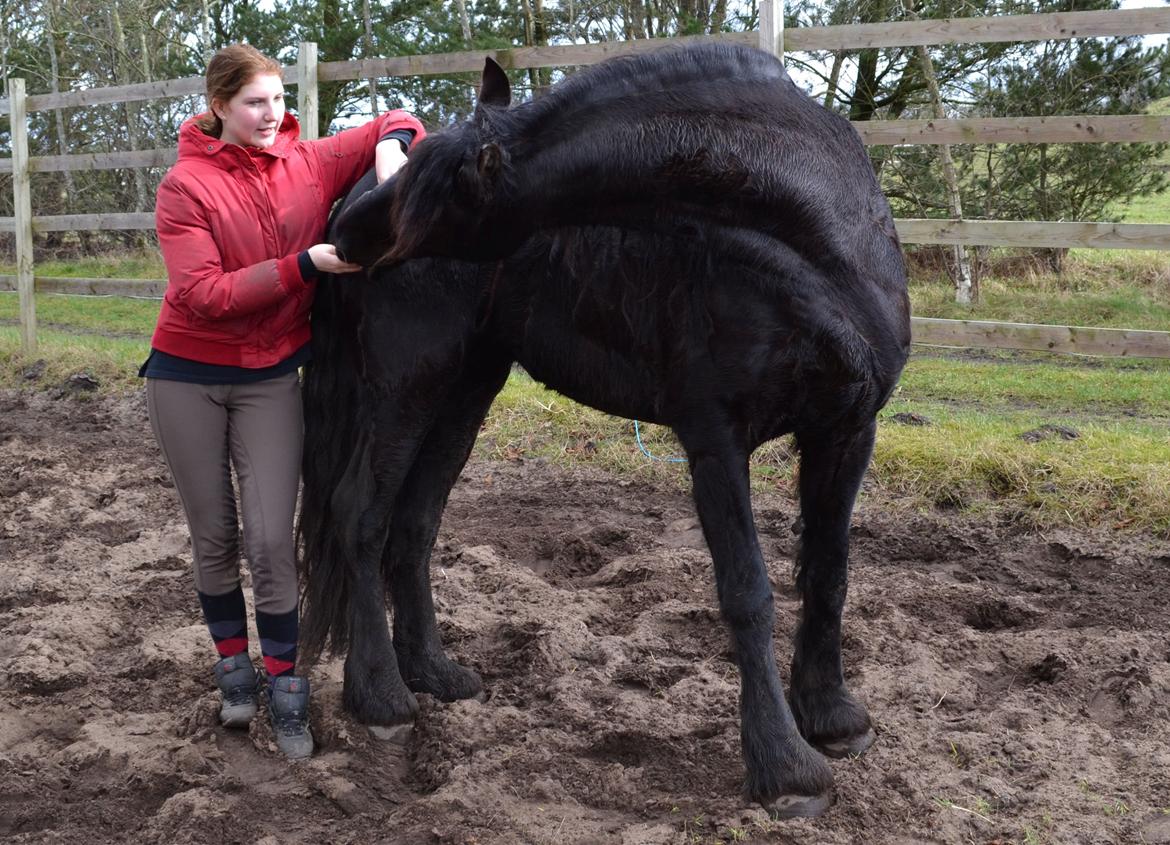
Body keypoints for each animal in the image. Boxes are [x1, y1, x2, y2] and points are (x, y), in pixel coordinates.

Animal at [299, 42, 903, 814]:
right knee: (361, 514)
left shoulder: (847, 430)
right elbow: (749, 592)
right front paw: (785, 766)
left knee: (413, 522)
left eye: (434, 193)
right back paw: (379, 698)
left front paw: (831, 716)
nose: (345, 239)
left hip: (467, 386)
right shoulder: (715, 439)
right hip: (410, 382)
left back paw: (434, 672)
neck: (822, 250)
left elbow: (829, 573)